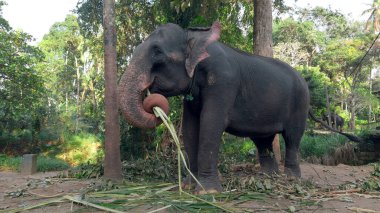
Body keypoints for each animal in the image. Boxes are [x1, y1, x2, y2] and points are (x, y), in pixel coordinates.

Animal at [119, 22, 312, 195]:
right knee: (263, 140)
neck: (192, 35)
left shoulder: (223, 81)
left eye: (158, 52)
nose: (150, 97)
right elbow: (190, 127)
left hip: (300, 103)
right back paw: (267, 177)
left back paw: (291, 178)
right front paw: (189, 187)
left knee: (292, 137)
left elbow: (210, 123)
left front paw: (208, 192)